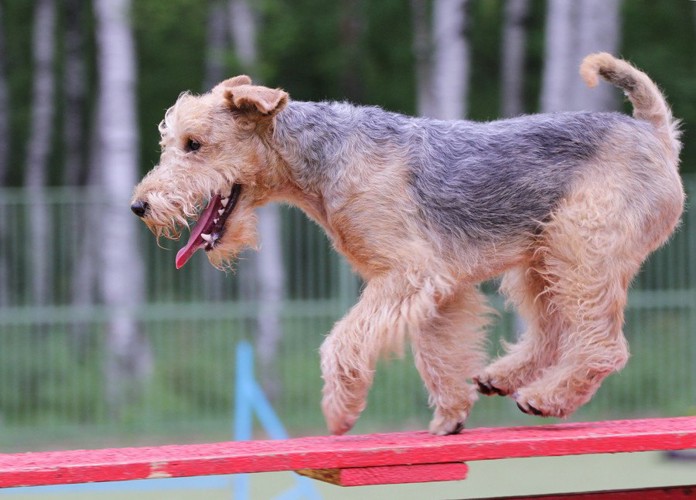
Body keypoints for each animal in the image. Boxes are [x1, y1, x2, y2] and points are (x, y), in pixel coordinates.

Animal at [132, 53, 684, 434]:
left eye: (194, 144)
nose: (140, 206)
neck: (320, 158)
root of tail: (656, 133)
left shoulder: (409, 274)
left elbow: (342, 341)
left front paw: (340, 410)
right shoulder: (441, 287)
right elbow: (438, 355)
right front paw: (450, 417)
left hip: (578, 250)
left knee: (602, 347)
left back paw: (546, 398)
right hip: (541, 262)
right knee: (552, 334)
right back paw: (502, 378)